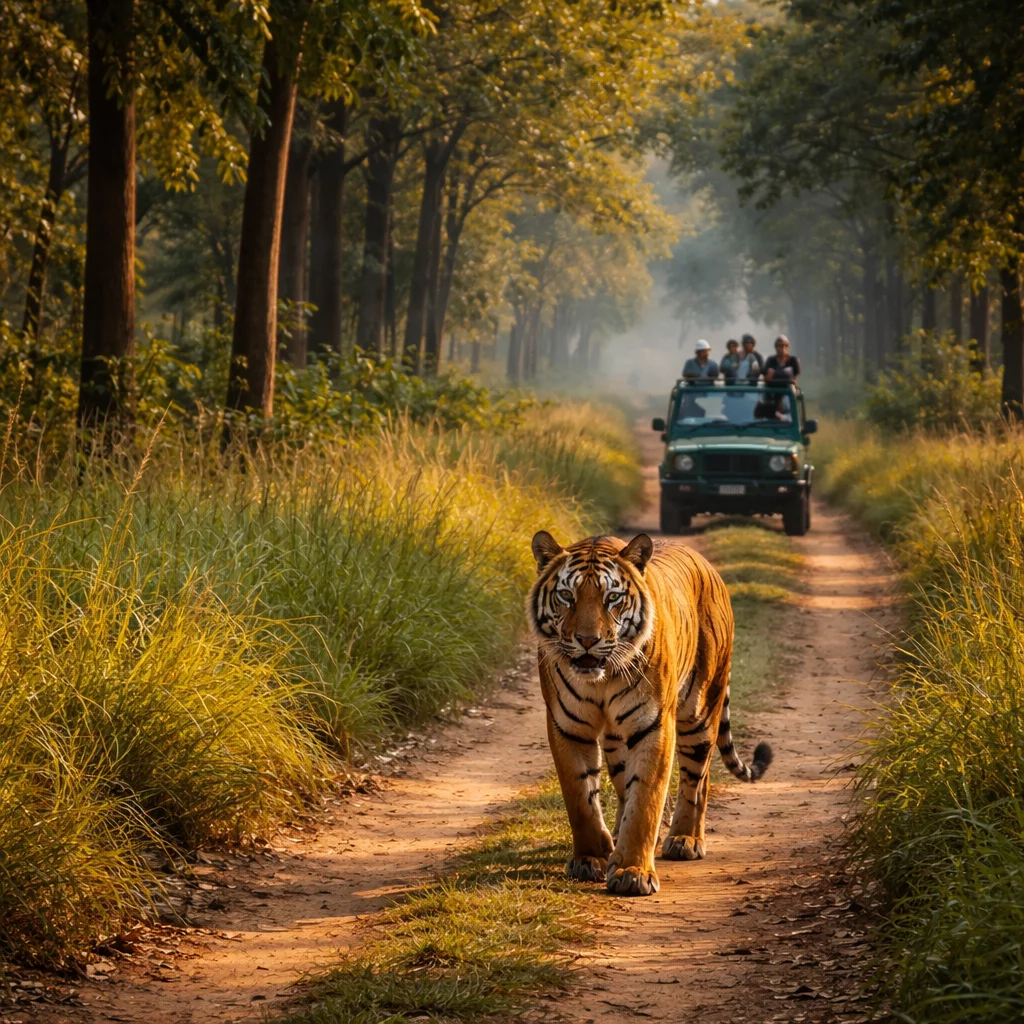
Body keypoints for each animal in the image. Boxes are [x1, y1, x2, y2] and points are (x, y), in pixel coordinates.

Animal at [527, 530, 773, 896]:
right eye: (567, 596)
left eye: (612, 597)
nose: (587, 640)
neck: (601, 680)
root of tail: (709, 567)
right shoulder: (567, 725)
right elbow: (580, 798)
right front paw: (591, 858)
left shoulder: (654, 725)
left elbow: (646, 799)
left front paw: (633, 872)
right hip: (617, 740)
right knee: (626, 783)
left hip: (700, 711)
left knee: (697, 780)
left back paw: (685, 840)